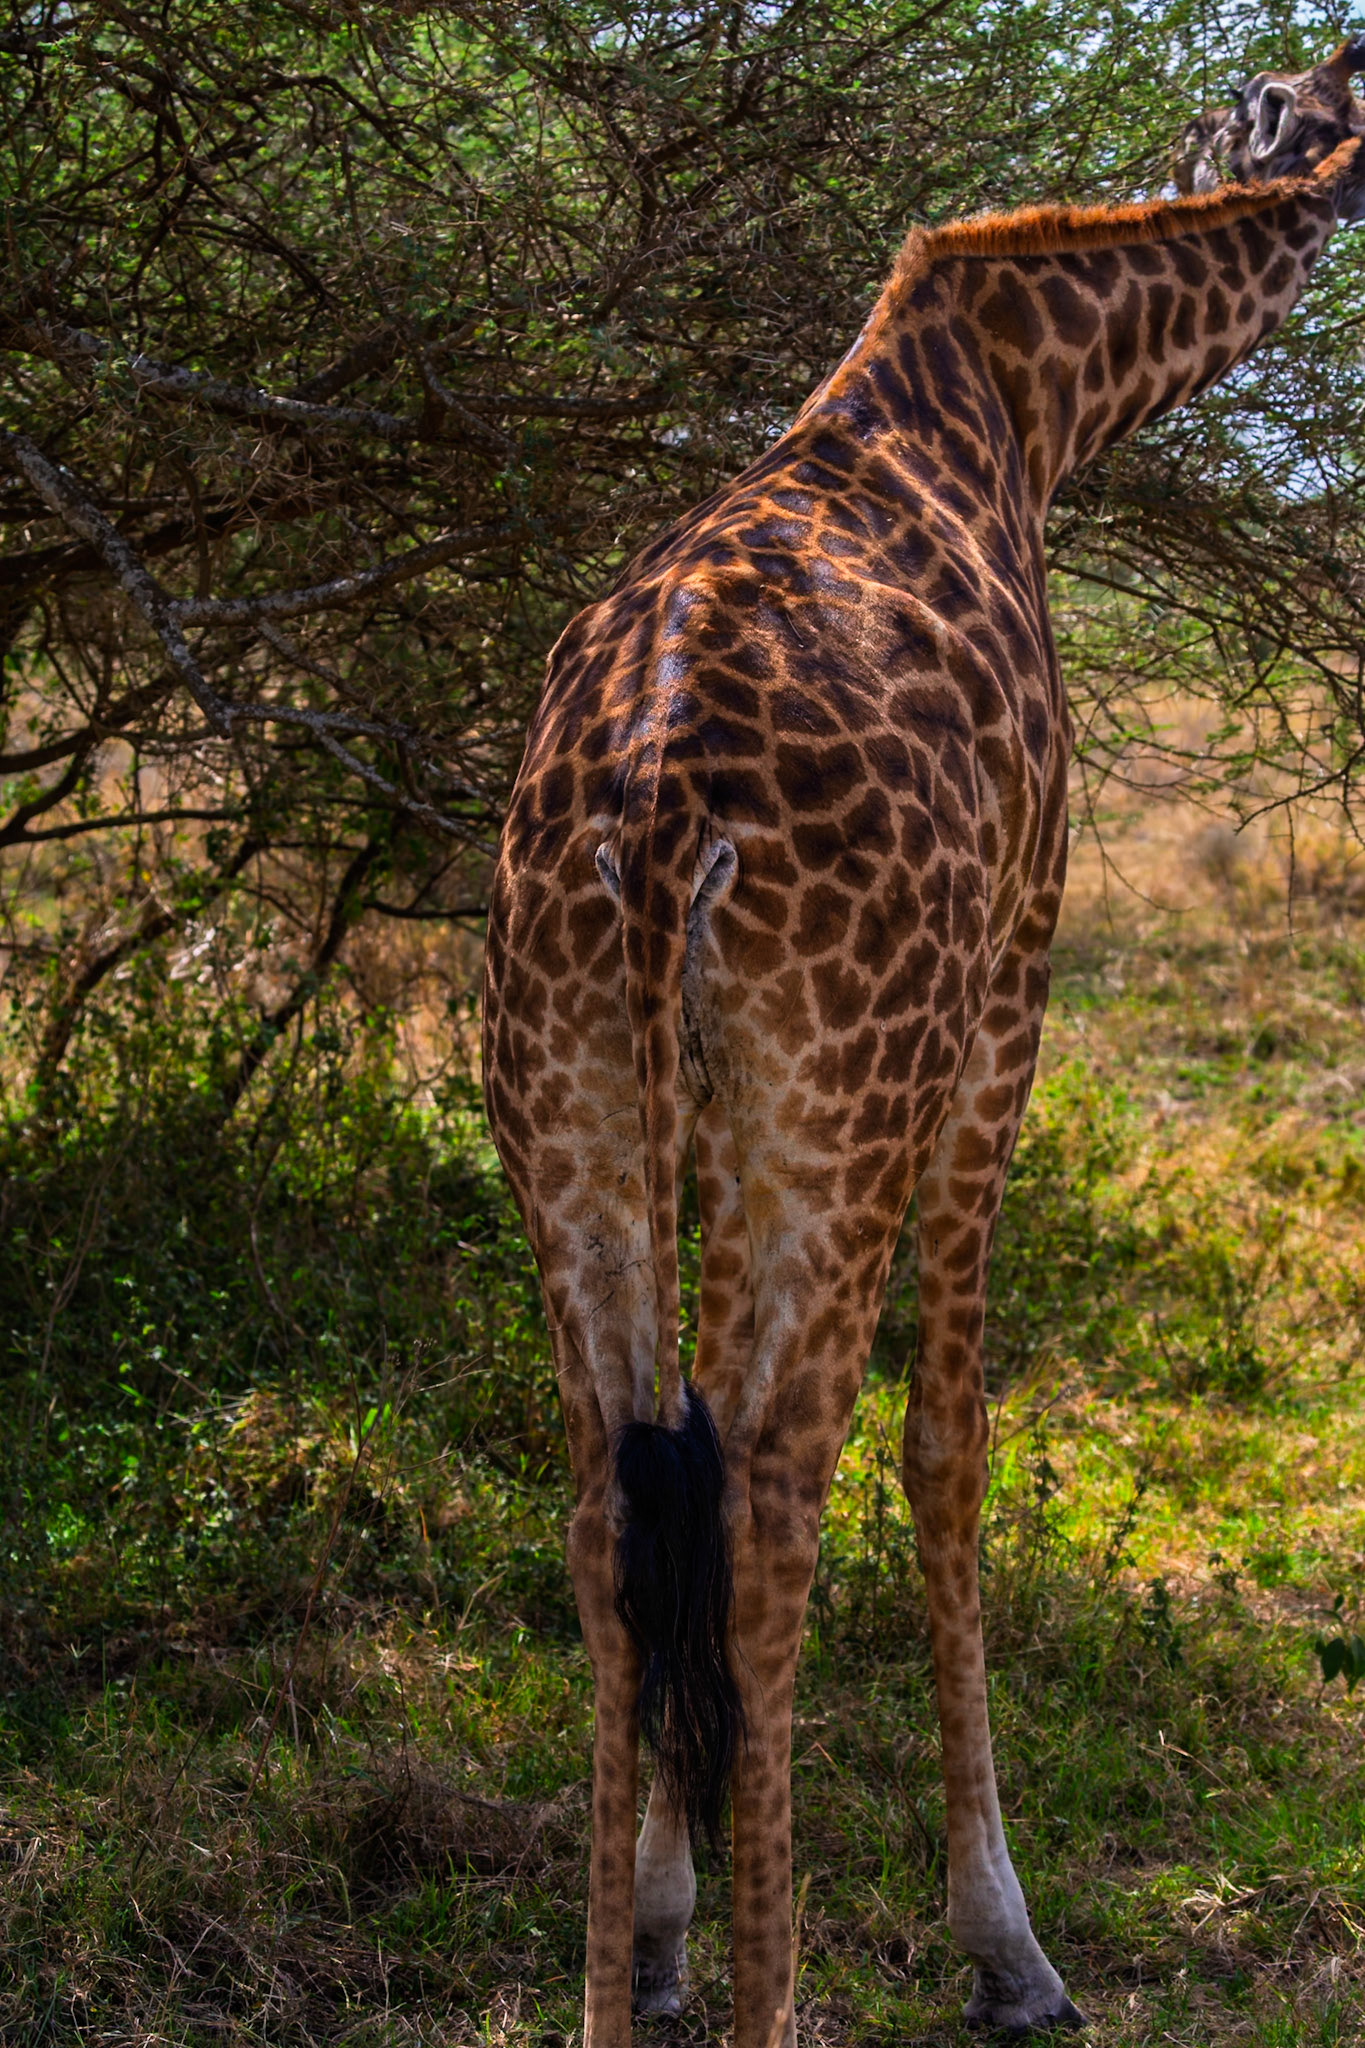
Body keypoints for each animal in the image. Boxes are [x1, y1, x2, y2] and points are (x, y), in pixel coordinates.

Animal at [482, 42, 1365, 2044]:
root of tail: (655, 807)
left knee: (609, 1504)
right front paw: (1005, 1943)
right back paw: (786, 1996)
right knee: (770, 1504)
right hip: (856, 1095)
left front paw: (663, 1917)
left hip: (573, 1095)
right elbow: (952, 1444)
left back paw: (624, 1981)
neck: (1026, 393)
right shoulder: (1012, 985)